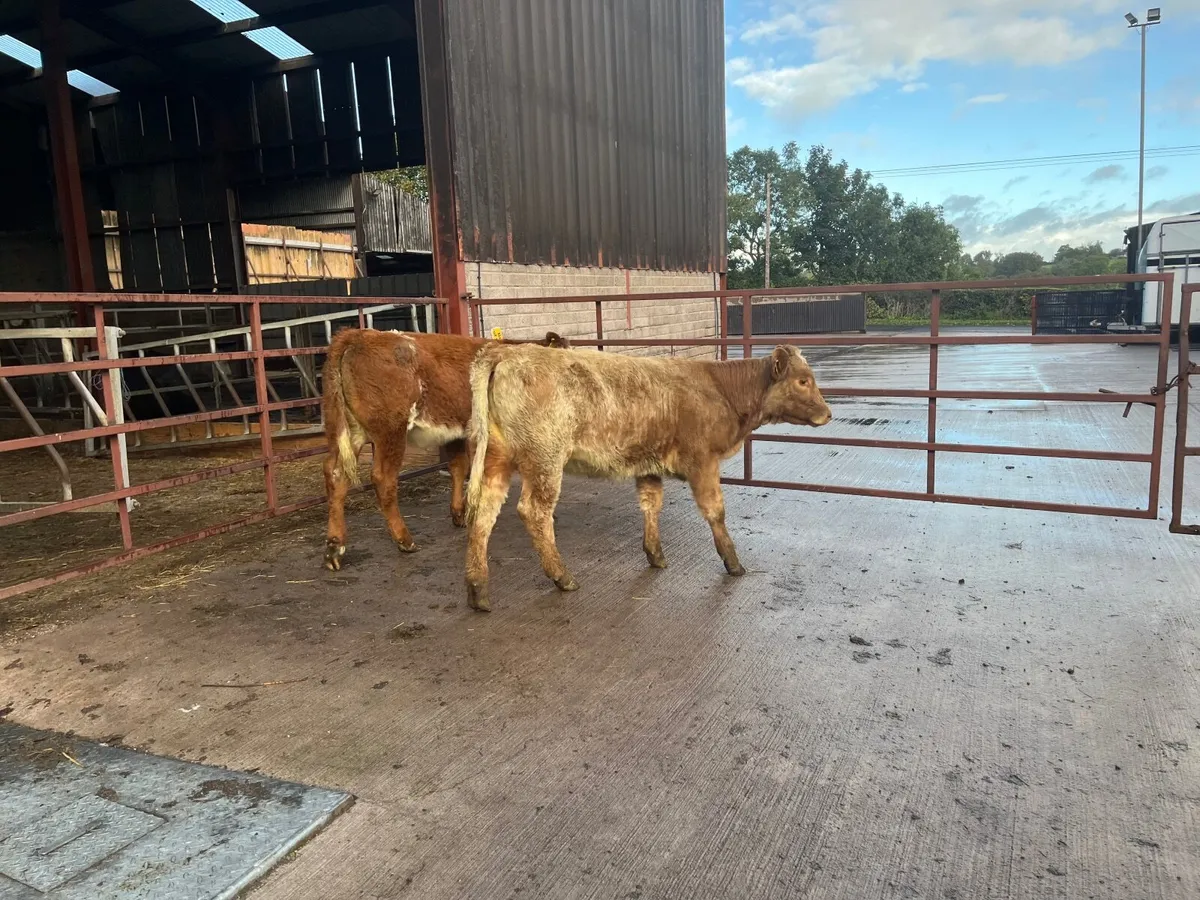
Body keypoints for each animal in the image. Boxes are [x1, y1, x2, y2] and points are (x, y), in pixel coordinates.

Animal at [321, 328, 569, 571]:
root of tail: (358, 335)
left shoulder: (457, 433)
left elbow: (458, 468)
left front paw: (459, 513)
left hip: (349, 433)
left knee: (335, 475)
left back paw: (335, 546)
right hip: (390, 431)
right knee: (383, 479)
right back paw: (404, 539)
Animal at [463, 343, 832, 610]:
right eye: (803, 380)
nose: (828, 414)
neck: (720, 389)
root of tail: (507, 351)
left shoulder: (649, 464)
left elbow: (651, 505)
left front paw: (655, 555)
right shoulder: (703, 461)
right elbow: (715, 511)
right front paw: (733, 562)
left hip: (497, 459)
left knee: (484, 513)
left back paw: (478, 589)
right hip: (545, 458)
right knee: (534, 512)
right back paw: (562, 577)